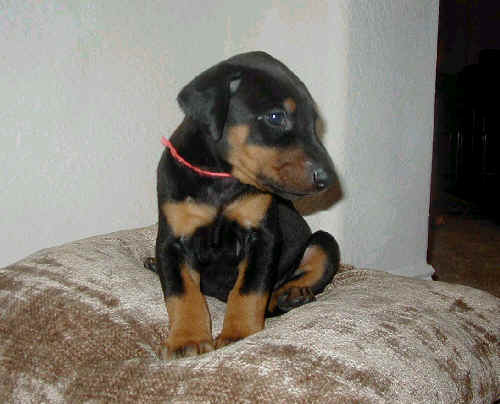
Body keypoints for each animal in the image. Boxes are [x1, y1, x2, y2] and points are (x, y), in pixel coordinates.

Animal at [145, 51, 340, 360]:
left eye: (314, 122)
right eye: (276, 116)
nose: (328, 178)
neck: (222, 180)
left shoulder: (262, 237)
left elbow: (250, 289)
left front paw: (239, 334)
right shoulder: (172, 240)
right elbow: (182, 292)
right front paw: (187, 339)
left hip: (324, 242)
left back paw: (291, 295)